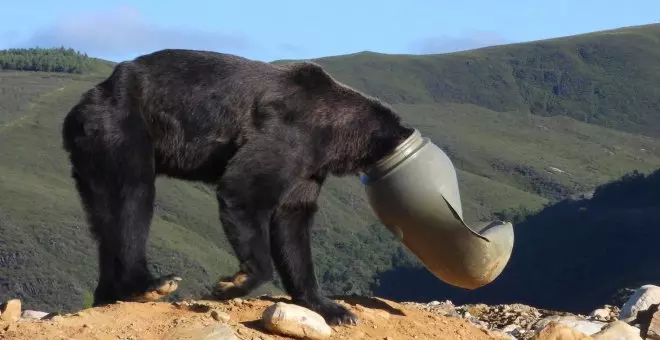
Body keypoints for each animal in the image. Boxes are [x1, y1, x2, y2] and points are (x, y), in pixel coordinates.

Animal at [62, 47, 412, 324]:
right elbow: (244, 190)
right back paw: (150, 284)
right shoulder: (290, 135)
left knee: (105, 216)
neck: (335, 134)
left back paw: (109, 294)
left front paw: (334, 309)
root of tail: (86, 101)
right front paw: (232, 283)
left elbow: (293, 224)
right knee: (133, 200)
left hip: (94, 154)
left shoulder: (308, 170)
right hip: (122, 129)